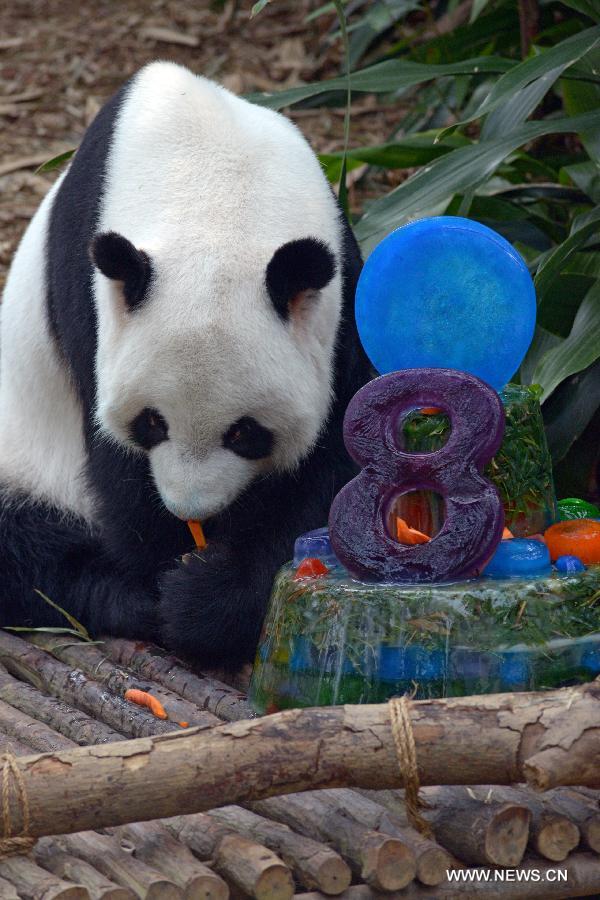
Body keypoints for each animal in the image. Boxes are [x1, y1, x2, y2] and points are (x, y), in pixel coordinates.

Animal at [0, 63, 372, 668]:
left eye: (245, 432)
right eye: (151, 422)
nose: (189, 508)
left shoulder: (338, 299)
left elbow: (328, 467)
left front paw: (206, 598)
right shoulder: (88, 299)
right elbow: (117, 476)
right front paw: (162, 589)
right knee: (25, 546)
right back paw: (116, 595)